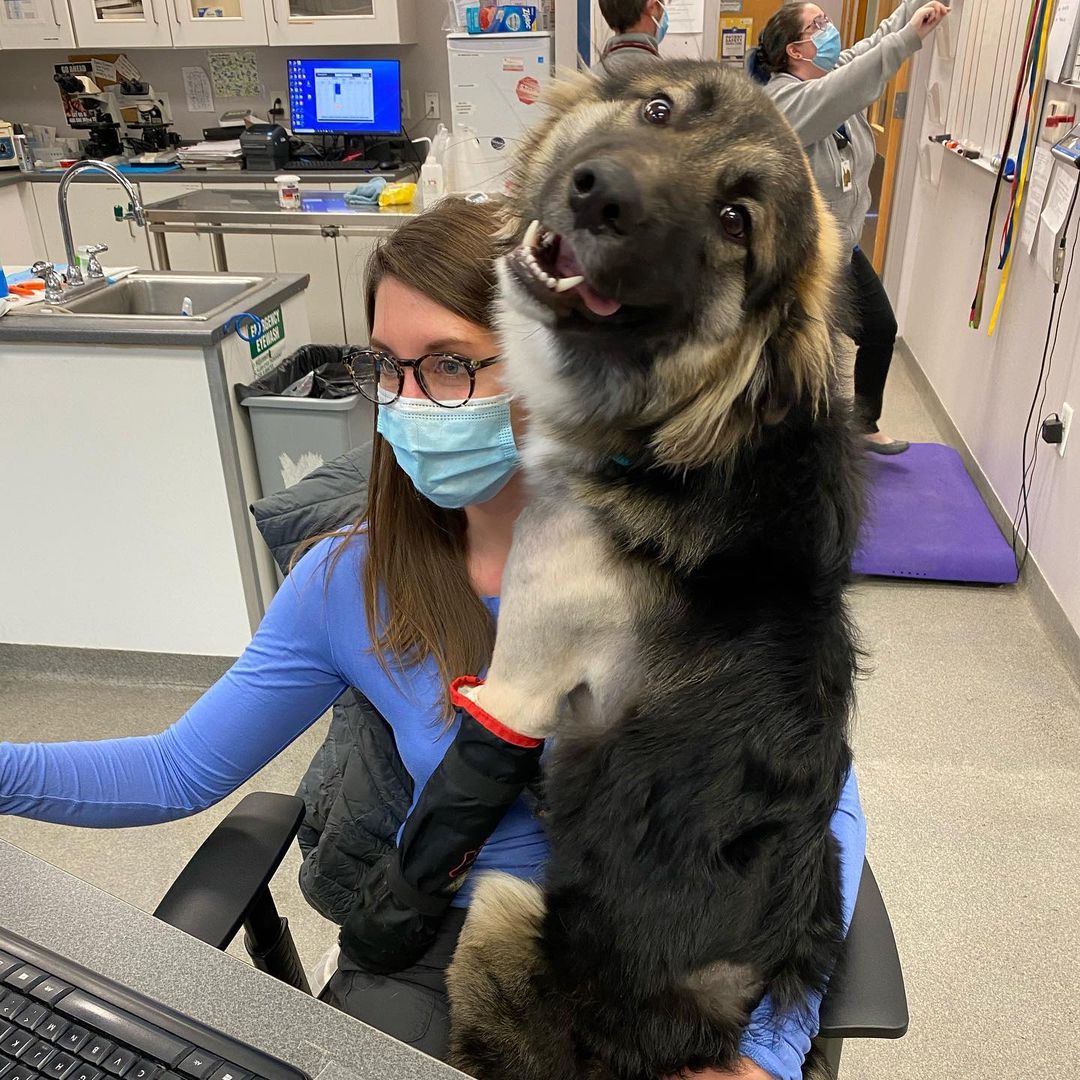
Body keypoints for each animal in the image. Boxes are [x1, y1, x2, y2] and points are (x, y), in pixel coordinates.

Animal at [447, 61, 859, 1080]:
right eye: (660, 109)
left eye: (736, 221)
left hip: (502, 905)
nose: (604, 196)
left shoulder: (518, 680)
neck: (679, 434)